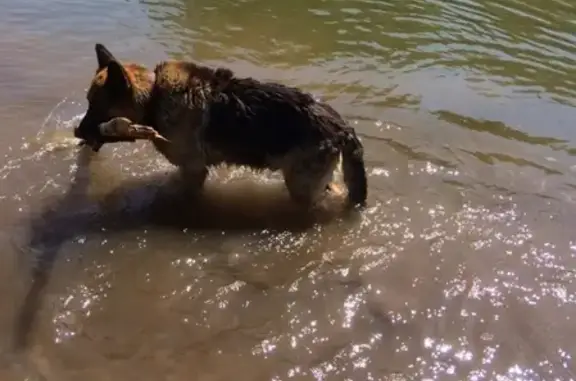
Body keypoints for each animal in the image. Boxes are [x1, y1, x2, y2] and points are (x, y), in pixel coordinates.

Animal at [74, 43, 368, 208]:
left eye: (95, 106)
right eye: (87, 103)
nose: (77, 132)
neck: (154, 96)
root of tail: (342, 125)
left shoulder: (193, 170)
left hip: (301, 185)